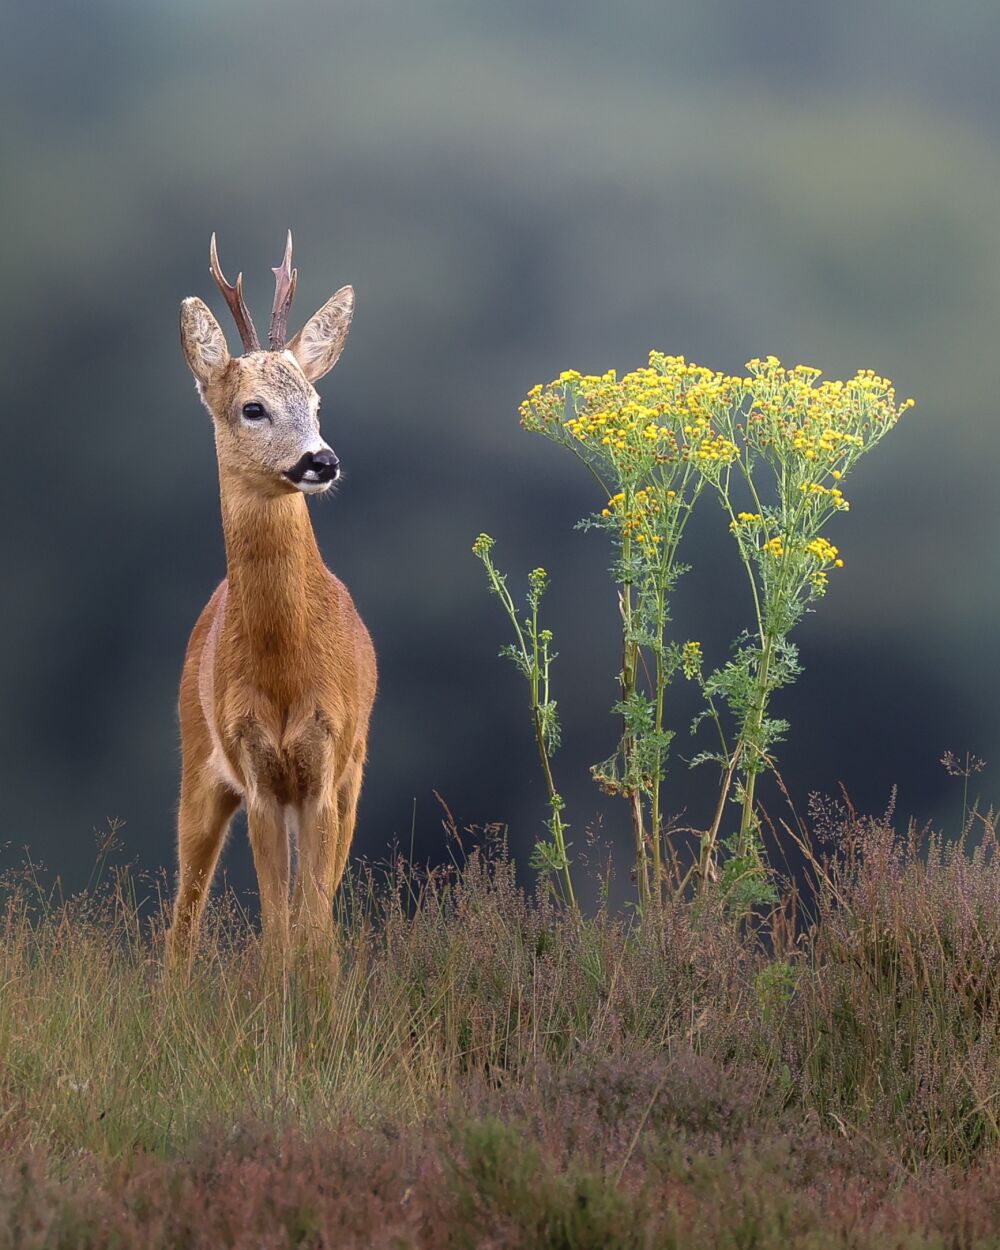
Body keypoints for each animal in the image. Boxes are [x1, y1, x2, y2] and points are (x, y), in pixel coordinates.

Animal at [168, 235, 380, 970]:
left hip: (353, 775)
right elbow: (278, 928)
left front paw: (322, 999)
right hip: (197, 762)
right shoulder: (256, 769)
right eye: (252, 407)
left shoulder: (327, 764)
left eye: (316, 402)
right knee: (182, 920)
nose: (322, 460)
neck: (286, 669)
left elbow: (314, 927)